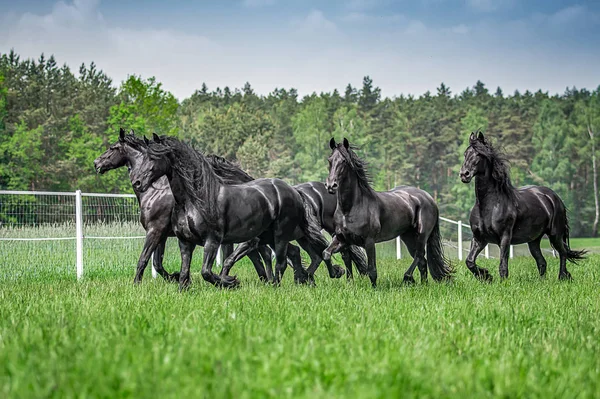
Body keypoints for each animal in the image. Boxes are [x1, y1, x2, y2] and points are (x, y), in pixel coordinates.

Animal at [94, 130, 272, 282]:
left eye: (112, 147)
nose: (97, 163)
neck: (155, 190)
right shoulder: (163, 235)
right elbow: (157, 263)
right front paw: (177, 277)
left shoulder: (155, 230)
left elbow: (144, 259)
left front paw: (137, 284)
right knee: (260, 253)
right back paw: (264, 280)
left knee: (259, 252)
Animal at [322, 138, 452, 288]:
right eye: (330, 160)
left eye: (344, 161)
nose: (331, 186)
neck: (349, 209)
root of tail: (429, 198)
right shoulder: (342, 239)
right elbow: (328, 255)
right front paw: (338, 274)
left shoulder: (369, 241)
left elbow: (372, 269)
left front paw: (374, 289)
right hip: (408, 237)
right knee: (422, 261)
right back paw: (423, 285)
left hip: (422, 234)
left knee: (419, 255)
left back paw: (408, 278)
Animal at [460, 131, 584, 282]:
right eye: (465, 153)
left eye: (479, 154)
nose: (464, 174)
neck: (488, 207)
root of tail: (554, 197)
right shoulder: (479, 239)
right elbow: (469, 261)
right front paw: (486, 276)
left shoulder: (505, 238)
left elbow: (503, 265)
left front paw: (501, 282)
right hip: (534, 240)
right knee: (542, 261)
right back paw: (542, 282)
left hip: (555, 234)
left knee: (563, 253)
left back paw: (562, 277)